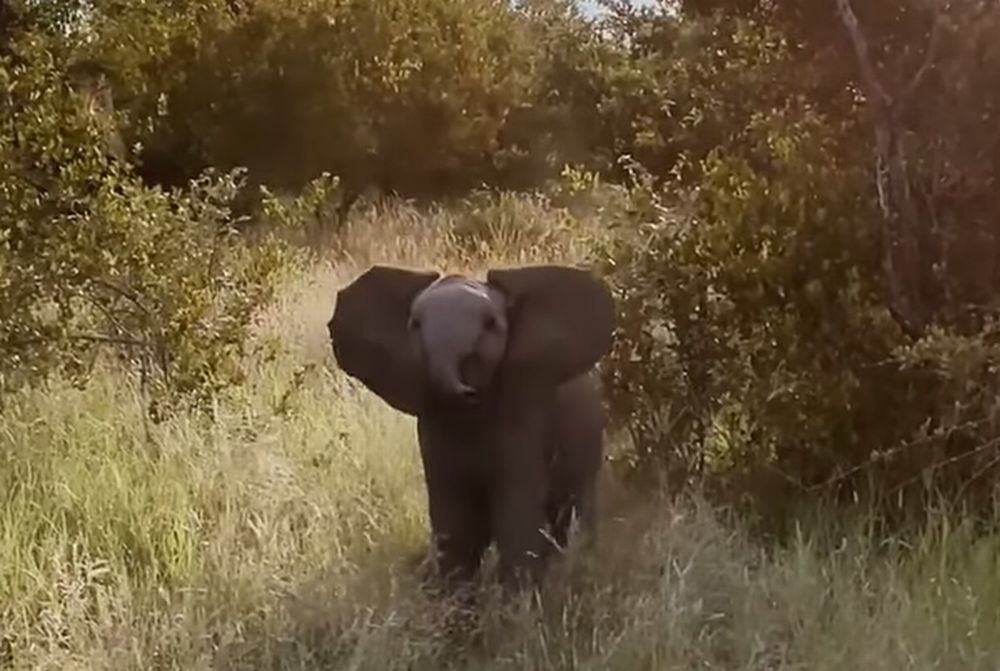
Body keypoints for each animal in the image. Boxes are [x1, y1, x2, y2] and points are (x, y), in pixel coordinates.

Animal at [328, 266, 616, 592]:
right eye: (414, 325)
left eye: (490, 324)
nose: (468, 391)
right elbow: (456, 516)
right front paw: (456, 598)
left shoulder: (523, 413)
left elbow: (515, 508)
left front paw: (519, 599)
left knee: (575, 508)